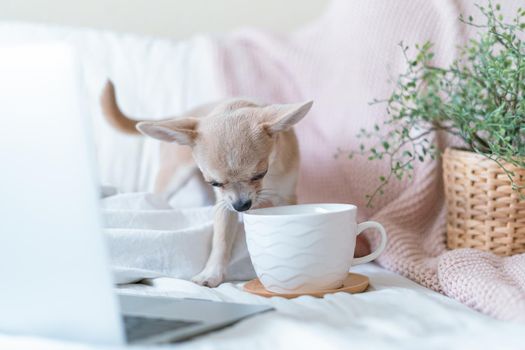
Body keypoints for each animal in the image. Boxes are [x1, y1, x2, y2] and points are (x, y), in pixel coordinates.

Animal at [100, 81, 312, 288]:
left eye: (260, 174)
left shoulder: (285, 198)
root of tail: (182, 114)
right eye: (215, 183)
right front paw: (211, 274)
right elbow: (221, 240)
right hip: (172, 177)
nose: (241, 206)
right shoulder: (224, 205)